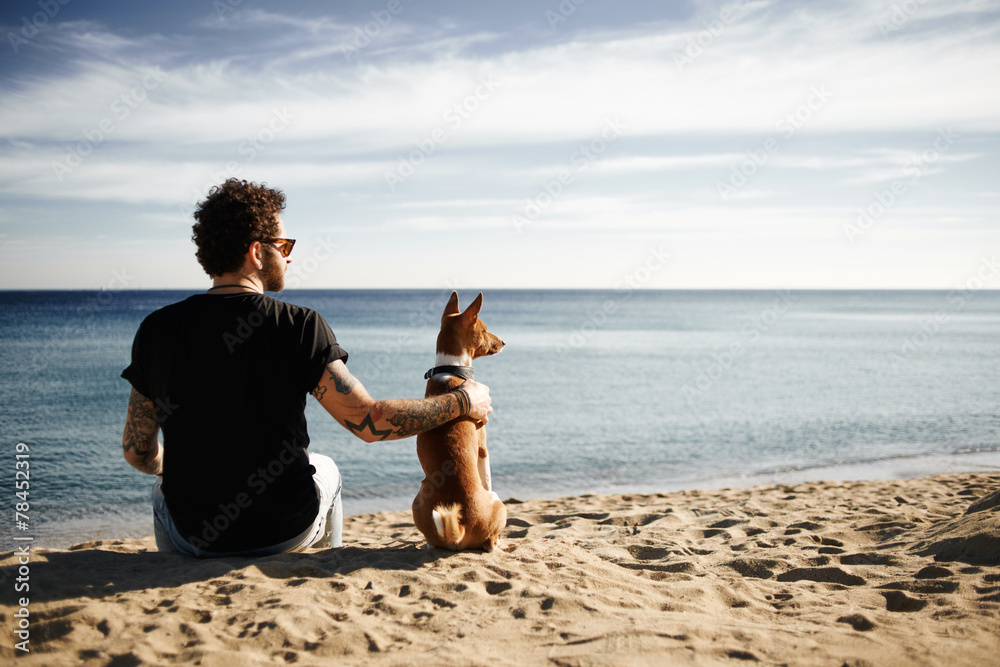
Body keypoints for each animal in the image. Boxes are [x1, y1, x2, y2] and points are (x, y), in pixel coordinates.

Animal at [408, 292, 504, 552]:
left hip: (418, 499)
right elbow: (487, 476)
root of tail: (459, 528)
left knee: (432, 541)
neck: (452, 370)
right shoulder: (484, 447)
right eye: (485, 329)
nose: (503, 342)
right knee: (490, 540)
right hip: (499, 503)